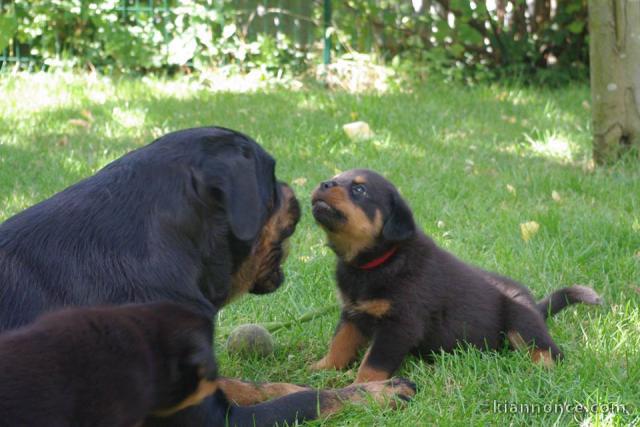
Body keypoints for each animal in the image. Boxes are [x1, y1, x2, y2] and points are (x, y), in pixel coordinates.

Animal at [310, 170, 600, 384]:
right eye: (335, 177)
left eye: (359, 190)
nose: (324, 183)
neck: (375, 263)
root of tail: (536, 307)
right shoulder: (352, 313)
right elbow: (339, 343)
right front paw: (321, 368)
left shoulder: (399, 325)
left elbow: (373, 363)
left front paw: (363, 390)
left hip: (522, 321)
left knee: (550, 352)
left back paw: (539, 370)